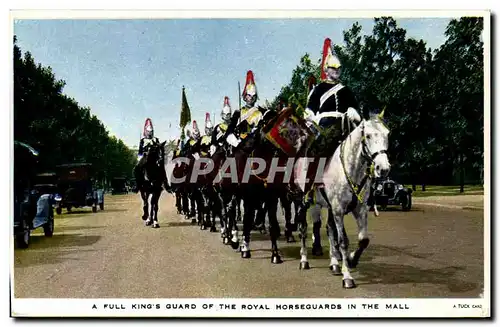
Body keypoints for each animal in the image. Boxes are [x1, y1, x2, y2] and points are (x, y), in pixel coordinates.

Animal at [296, 112, 390, 290]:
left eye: (387, 134)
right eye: (368, 136)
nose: (384, 168)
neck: (351, 170)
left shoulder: (359, 209)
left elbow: (363, 240)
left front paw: (352, 260)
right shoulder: (339, 210)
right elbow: (343, 241)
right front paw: (347, 276)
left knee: (328, 229)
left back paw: (334, 263)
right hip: (302, 202)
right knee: (304, 228)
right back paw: (304, 260)